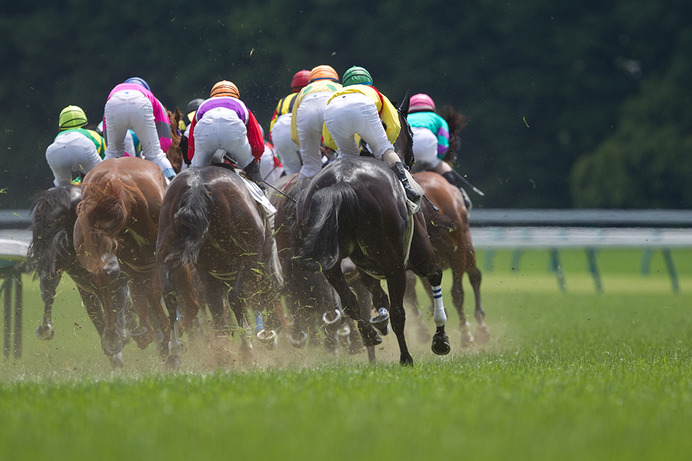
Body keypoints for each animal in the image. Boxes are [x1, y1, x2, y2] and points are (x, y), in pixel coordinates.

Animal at [155, 164, 278, 366]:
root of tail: (197, 185)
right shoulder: (259, 262)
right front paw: (268, 335)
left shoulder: (209, 272)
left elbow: (216, 306)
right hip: (248, 258)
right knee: (237, 296)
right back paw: (247, 349)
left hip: (166, 253)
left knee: (170, 295)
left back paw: (174, 353)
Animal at [290, 95, 448, 364]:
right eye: (410, 132)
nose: (412, 160)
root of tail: (343, 181)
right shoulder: (418, 254)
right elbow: (434, 275)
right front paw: (440, 339)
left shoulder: (365, 266)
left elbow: (372, 294)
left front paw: (378, 322)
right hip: (395, 263)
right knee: (398, 312)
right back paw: (406, 358)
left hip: (331, 264)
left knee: (349, 302)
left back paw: (369, 335)